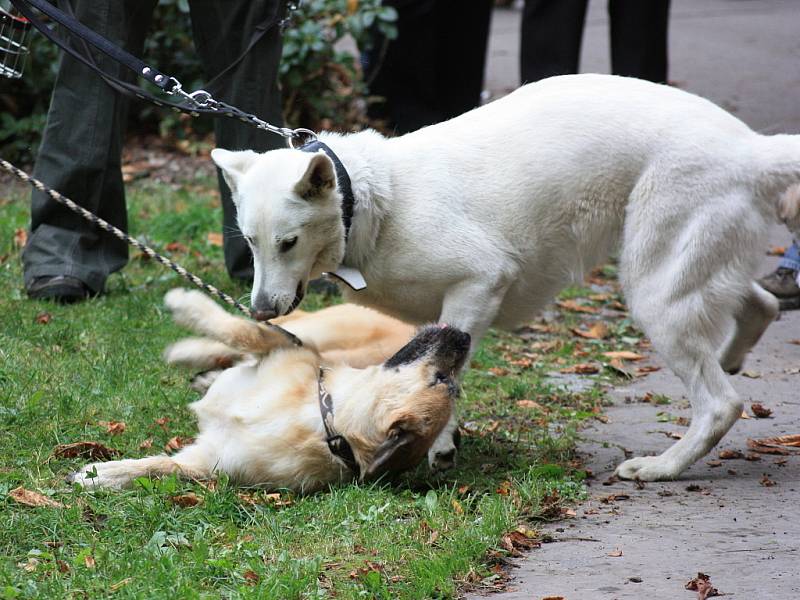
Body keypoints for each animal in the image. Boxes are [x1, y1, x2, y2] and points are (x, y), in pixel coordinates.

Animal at [70, 290, 468, 492]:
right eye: (442, 380)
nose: (464, 336)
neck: (323, 418)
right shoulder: (288, 348)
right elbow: (246, 332)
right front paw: (187, 303)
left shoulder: (210, 462)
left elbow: (162, 467)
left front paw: (102, 475)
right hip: (319, 331)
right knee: (265, 328)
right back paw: (189, 350)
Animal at [211, 75, 800, 480]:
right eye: (252, 242)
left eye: (288, 243)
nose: (260, 311)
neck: (374, 202)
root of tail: (752, 146)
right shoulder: (433, 318)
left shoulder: (479, 284)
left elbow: (450, 369)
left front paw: (441, 442)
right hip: (684, 269)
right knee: (761, 306)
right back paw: (730, 358)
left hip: (653, 287)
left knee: (721, 404)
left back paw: (663, 466)